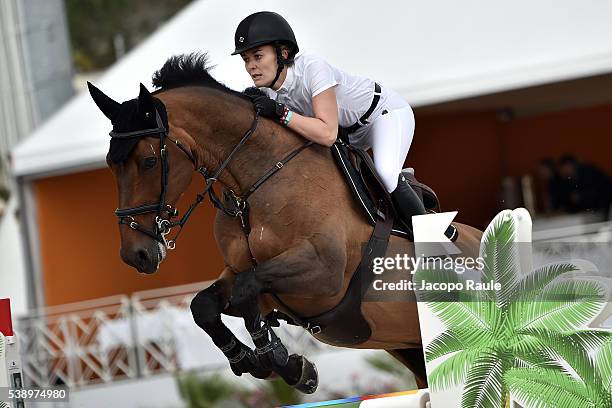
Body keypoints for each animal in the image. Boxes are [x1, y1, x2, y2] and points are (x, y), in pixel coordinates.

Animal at [89, 53, 482, 392]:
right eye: (110, 164)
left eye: (149, 162)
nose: (136, 255)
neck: (254, 184)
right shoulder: (255, 282)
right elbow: (205, 305)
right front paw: (259, 361)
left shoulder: (324, 272)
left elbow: (247, 288)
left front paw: (284, 361)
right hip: (413, 351)